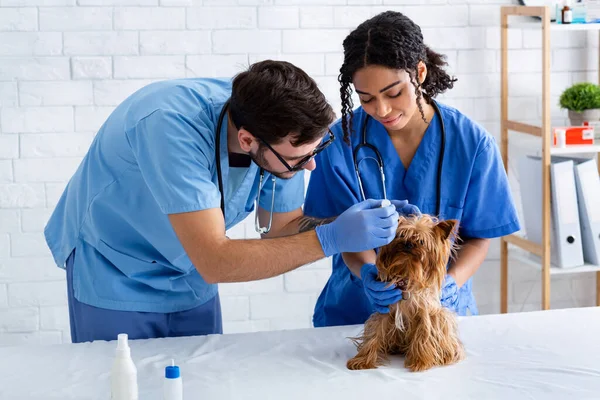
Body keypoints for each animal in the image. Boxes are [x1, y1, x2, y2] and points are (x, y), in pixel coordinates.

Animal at [346, 216, 464, 372]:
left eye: (421, 241)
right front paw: (363, 359)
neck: (407, 270)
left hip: (442, 317)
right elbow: (374, 334)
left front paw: (420, 361)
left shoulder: (425, 314)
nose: (408, 244)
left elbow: (423, 336)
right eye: (401, 235)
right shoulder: (385, 310)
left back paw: (446, 356)